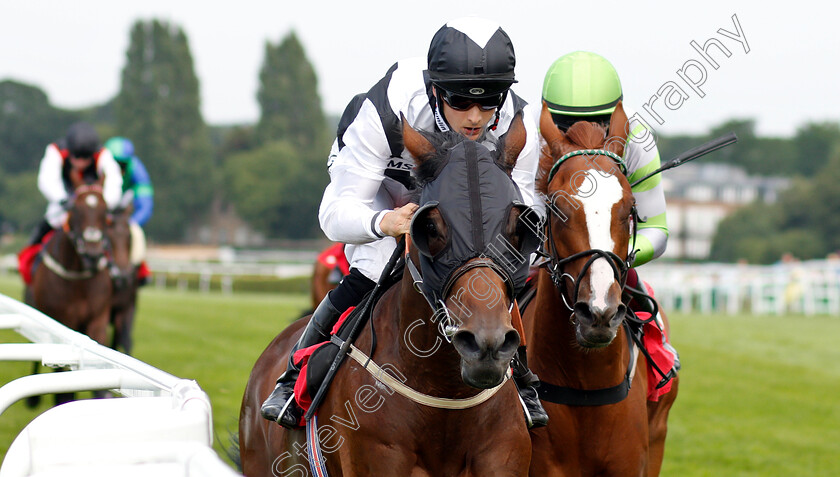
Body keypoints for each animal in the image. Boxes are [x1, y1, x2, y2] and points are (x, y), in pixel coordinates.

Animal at [26, 173, 115, 404]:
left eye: (105, 210)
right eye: (75, 209)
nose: (93, 254)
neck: (78, 277)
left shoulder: (98, 319)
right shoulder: (63, 323)